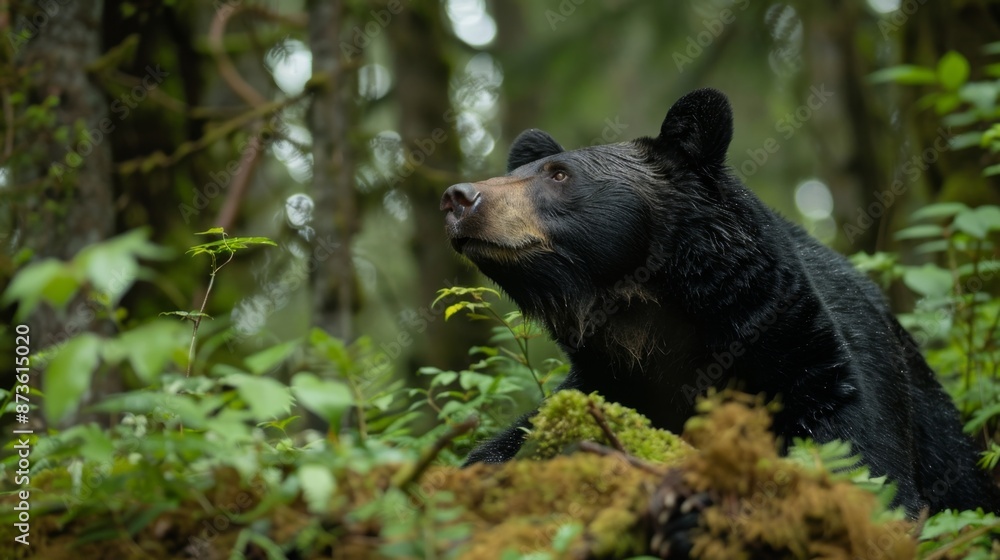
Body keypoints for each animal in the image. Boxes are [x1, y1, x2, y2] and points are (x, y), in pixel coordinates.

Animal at [439, 88, 1000, 516]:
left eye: (558, 174)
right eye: (531, 166)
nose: (457, 198)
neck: (650, 325)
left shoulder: (814, 365)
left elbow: (862, 463)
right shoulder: (602, 384)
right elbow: (502, 449)